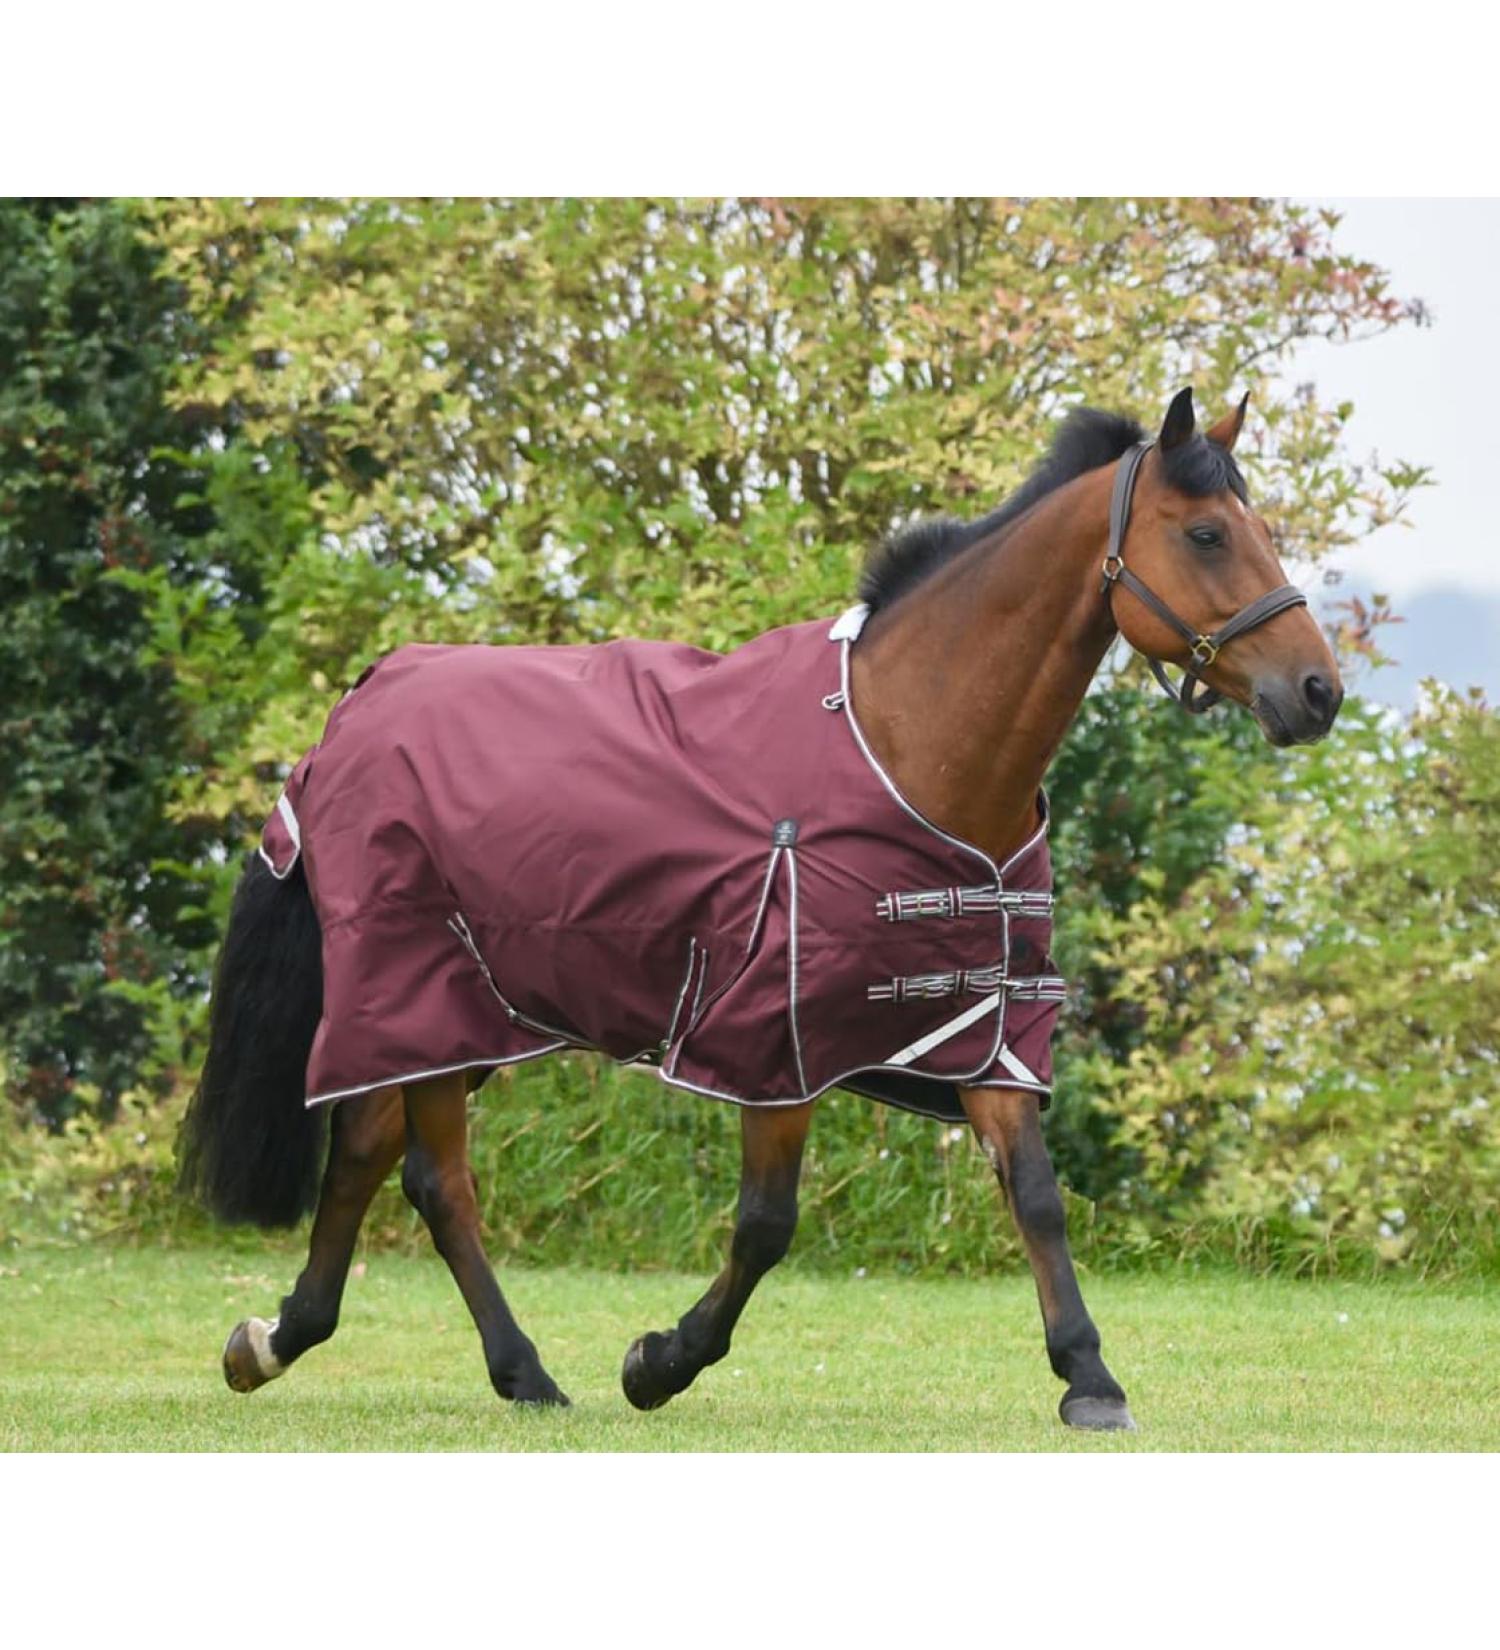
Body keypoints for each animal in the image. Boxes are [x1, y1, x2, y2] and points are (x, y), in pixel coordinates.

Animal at [179, 388, 1342, 1432]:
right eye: (1205, 533)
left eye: (1258, 530)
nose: (1318, 692)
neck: (912, 740)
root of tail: (358, 705)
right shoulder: (772, 1038)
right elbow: (767, 1224)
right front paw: (658, 1364)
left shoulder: (985, 1025)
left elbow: (1037, 1196)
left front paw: (1089, 1378)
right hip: (429, 990)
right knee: (436, 1177)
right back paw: (521, 1371)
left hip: (470, 1012)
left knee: (368, 1149)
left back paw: (281, 1339)